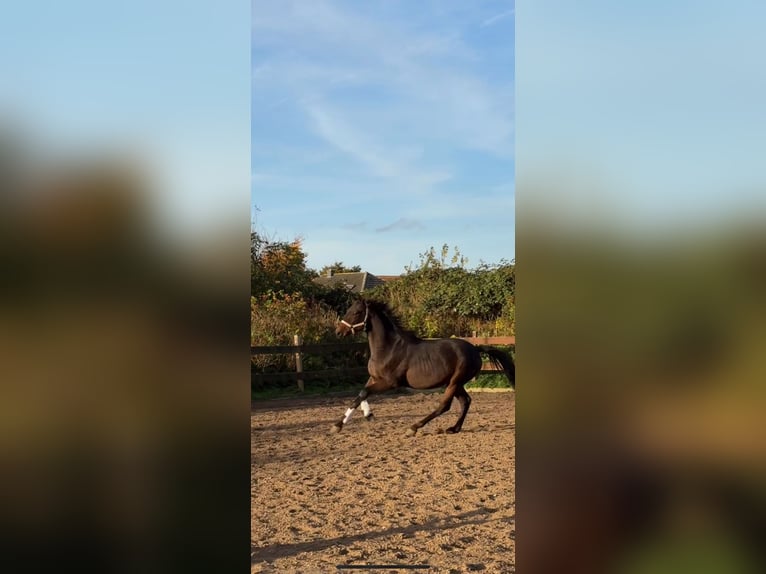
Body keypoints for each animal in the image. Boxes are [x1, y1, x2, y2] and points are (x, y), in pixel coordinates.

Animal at [334, 302, 520, 436]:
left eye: (357, 312)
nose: (338, 331)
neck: (388, 347)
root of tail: (475, 349)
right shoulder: (374, 378)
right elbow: (361, 394)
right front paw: (365, 416)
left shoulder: (390, 383)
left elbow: (364, 392)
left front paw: (338, 425)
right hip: (455, 383)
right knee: (465, 401)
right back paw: (454, 428)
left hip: (454, 382)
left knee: (445, 405)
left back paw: (414, 428)